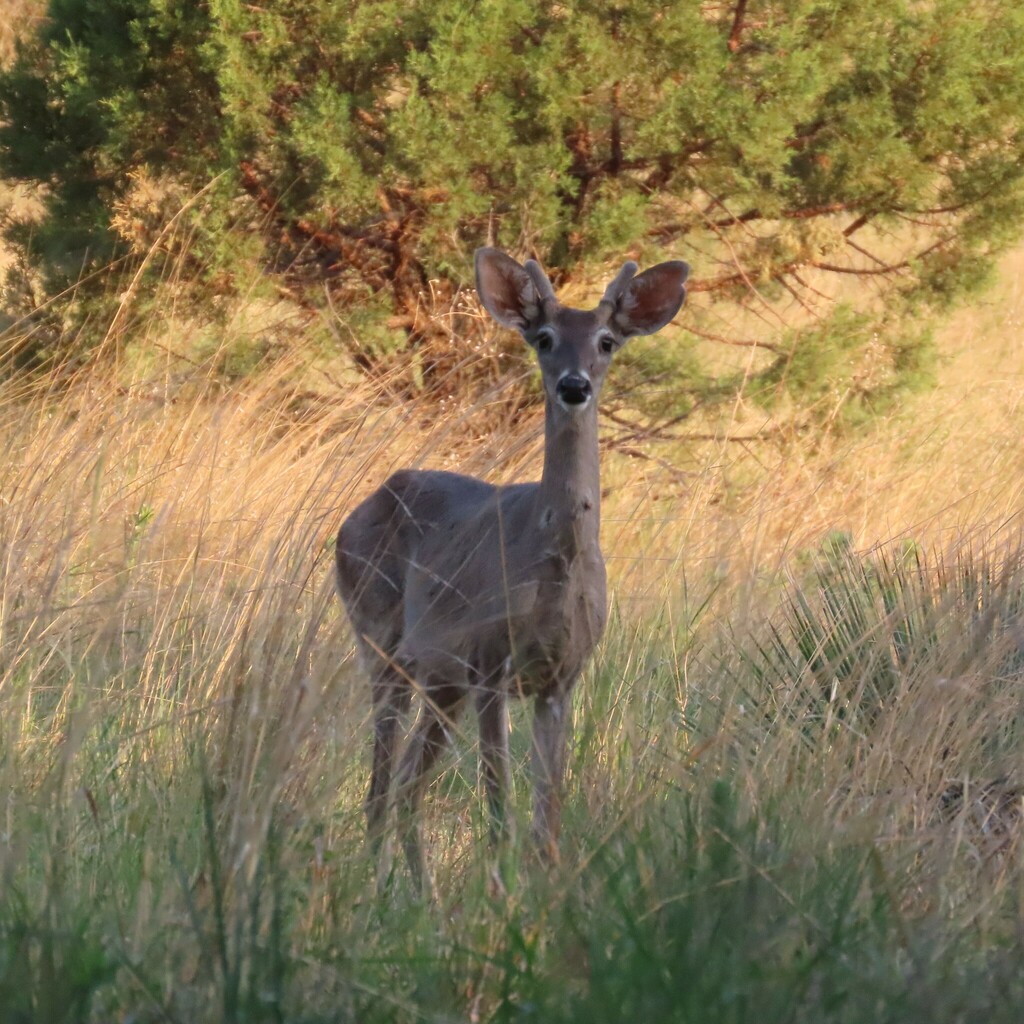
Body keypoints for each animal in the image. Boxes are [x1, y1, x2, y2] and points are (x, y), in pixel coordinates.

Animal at [333, 243, 688, 892]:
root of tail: (354, 516)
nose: (573, 386)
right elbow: (499, 806)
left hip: (439, 684)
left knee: (407, 785)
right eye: (544, 338)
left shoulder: (560, 679)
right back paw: (379, 886)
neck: (556, 569)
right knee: (380, 786)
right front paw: (500, 898)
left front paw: (541, 894)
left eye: (606, 340)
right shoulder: (489, 666)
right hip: (382, 648)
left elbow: (548, 817)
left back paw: (421, 894)